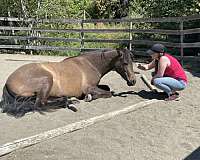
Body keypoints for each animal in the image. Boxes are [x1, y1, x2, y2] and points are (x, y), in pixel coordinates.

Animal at [0, 48, 136, 117]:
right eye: (125, 63)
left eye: (132, 62)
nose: (133, 81)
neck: (90, 64)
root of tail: (7, 82)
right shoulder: (89, 88)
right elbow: (108, 93)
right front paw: (89, 97)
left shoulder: (95, 86)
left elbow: (107, 88)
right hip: (47, 80)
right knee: (40, 104)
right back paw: (69, 102)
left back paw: (69, 100)